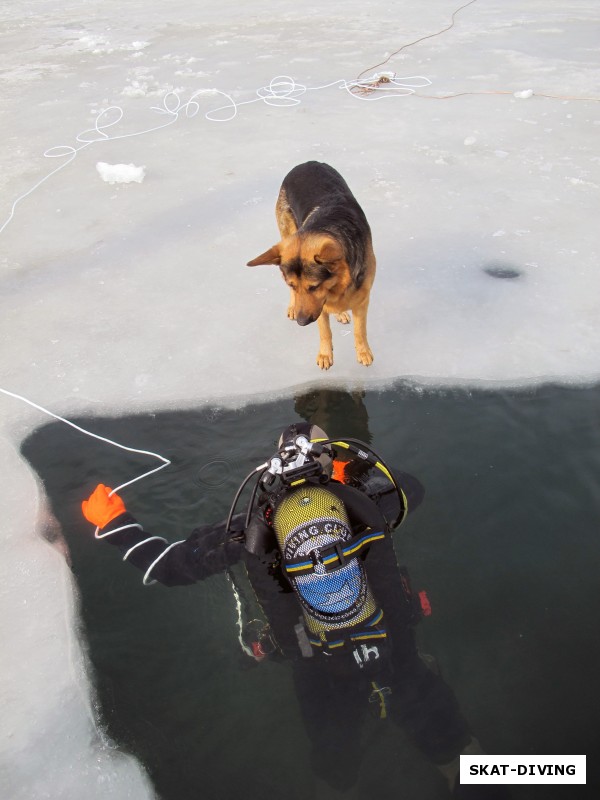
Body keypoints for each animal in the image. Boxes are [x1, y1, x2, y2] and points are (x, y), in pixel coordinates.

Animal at [246, 163, 372, 376]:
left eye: (314, 286)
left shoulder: (362, 298)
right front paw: (325, 355)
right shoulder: (318, 306)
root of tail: (307, 163)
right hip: (286, 232)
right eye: (293, 285)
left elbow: (359, 329)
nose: (302, 322)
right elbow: (324, 330)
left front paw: (363, 352)